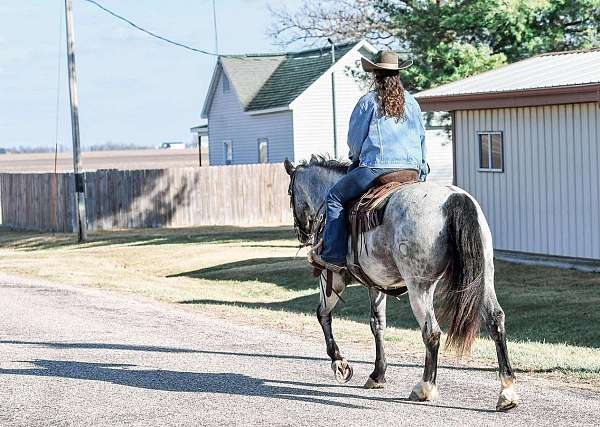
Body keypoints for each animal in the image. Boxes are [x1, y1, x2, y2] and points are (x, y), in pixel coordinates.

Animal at [284, 156, 516, 412]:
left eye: (290, 192)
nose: (302, 233)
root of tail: (453, 198)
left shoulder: (332, 277)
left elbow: (323, 315)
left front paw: (340, 363)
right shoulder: (375, 284)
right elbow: (377, 324)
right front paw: (377, 374)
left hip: (419, 287)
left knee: (432, 332)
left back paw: (424, 387)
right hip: (483, 279)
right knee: (495, 321)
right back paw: (507, 392)